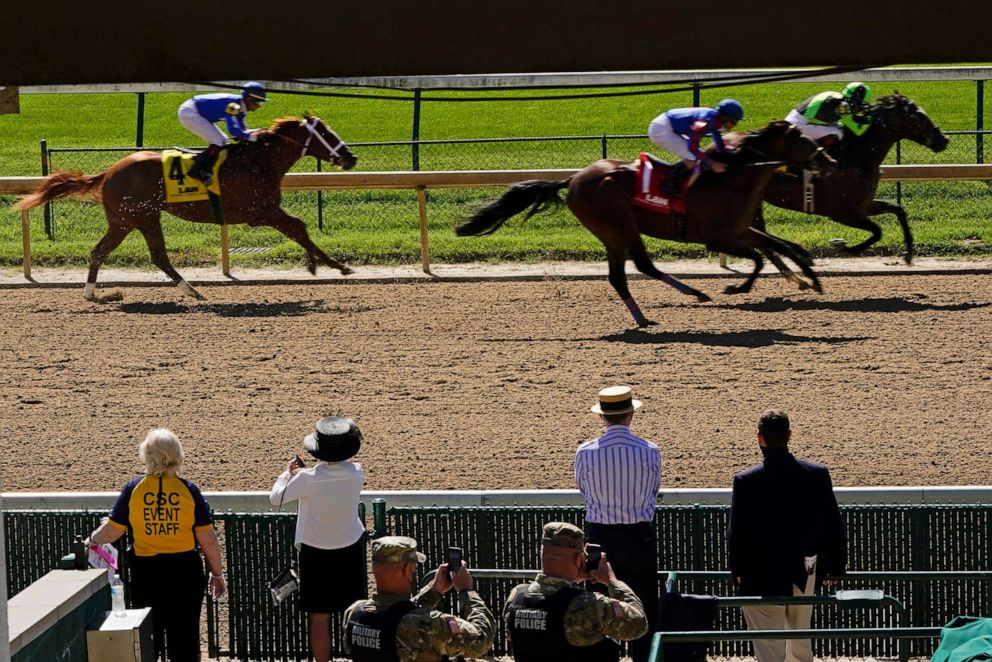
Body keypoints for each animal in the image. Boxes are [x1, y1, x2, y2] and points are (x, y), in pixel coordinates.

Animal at [16, 115, 356, 300]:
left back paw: (92, 293)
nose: (351, 157)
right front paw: (335, 265)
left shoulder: (265, 211)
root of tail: (107, 173)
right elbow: (298, 226)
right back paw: (191, 290)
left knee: (106, 252)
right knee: (154, 256)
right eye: (325, 133)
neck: (259, 160)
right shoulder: (260, 212)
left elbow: (299, 227)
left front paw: (319, 264)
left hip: (127, 220)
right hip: (141, 217)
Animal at [458, 122, 828, 330]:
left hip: (611, 232)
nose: (825, 157)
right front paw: (737, 288)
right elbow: (759, 257)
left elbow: (779, 246)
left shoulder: (740, 229)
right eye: (800, 137)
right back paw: (688, 295)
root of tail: (573, 179)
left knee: (622, 274)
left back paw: (651, 312)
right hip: (617, 224)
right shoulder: (717, 237)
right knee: (639, 265)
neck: (731, 177)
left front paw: (811, 276)